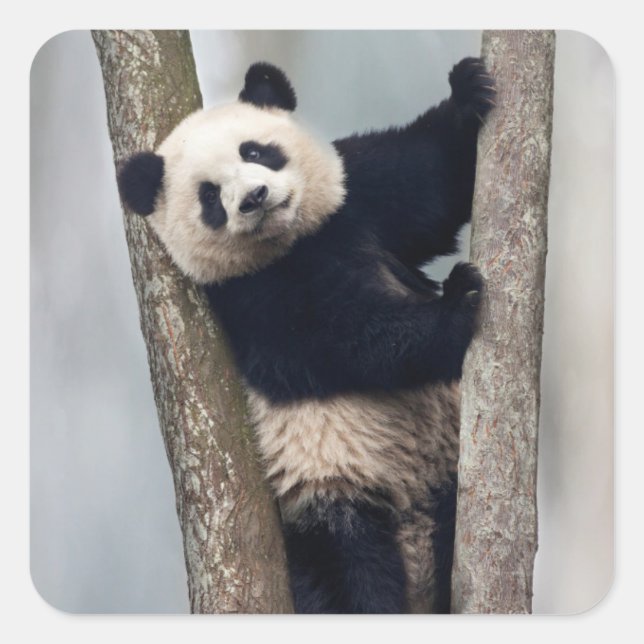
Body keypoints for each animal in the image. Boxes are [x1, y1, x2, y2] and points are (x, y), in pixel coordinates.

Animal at [117, 59, 495, 614]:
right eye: (209, 195)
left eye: (255, 151)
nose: (253, 198)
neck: (292, 242)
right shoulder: (252, 299)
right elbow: (348, 339)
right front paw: (457, 306)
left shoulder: (357, 197)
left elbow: (430, 180)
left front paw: (470, 91)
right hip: (330, 497)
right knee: (351, 574)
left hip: (444, 468)